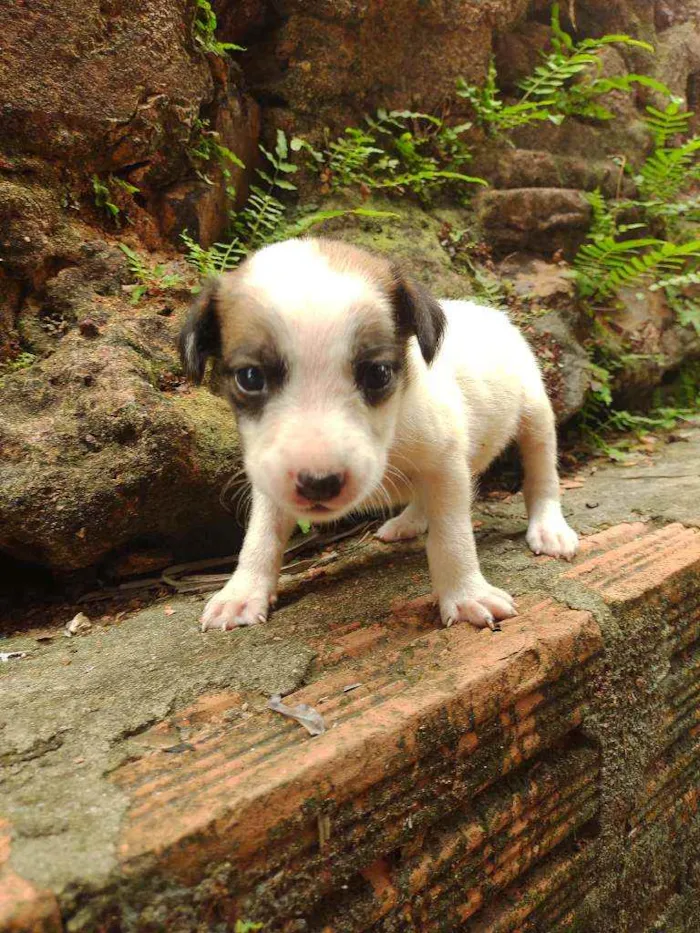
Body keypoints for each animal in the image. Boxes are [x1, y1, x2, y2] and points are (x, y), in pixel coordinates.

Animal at [180, 238, 580, 632]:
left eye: (378, 374)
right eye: (250, 377)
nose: (318, 484)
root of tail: (489, 312)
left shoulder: (445, 466)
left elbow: (452, 538)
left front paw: (466, 594)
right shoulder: (269, 478)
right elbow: (260, 536)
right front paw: (242, 592)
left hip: (535, 415)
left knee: (542, 475)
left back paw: (549, 527)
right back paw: (409, 521)